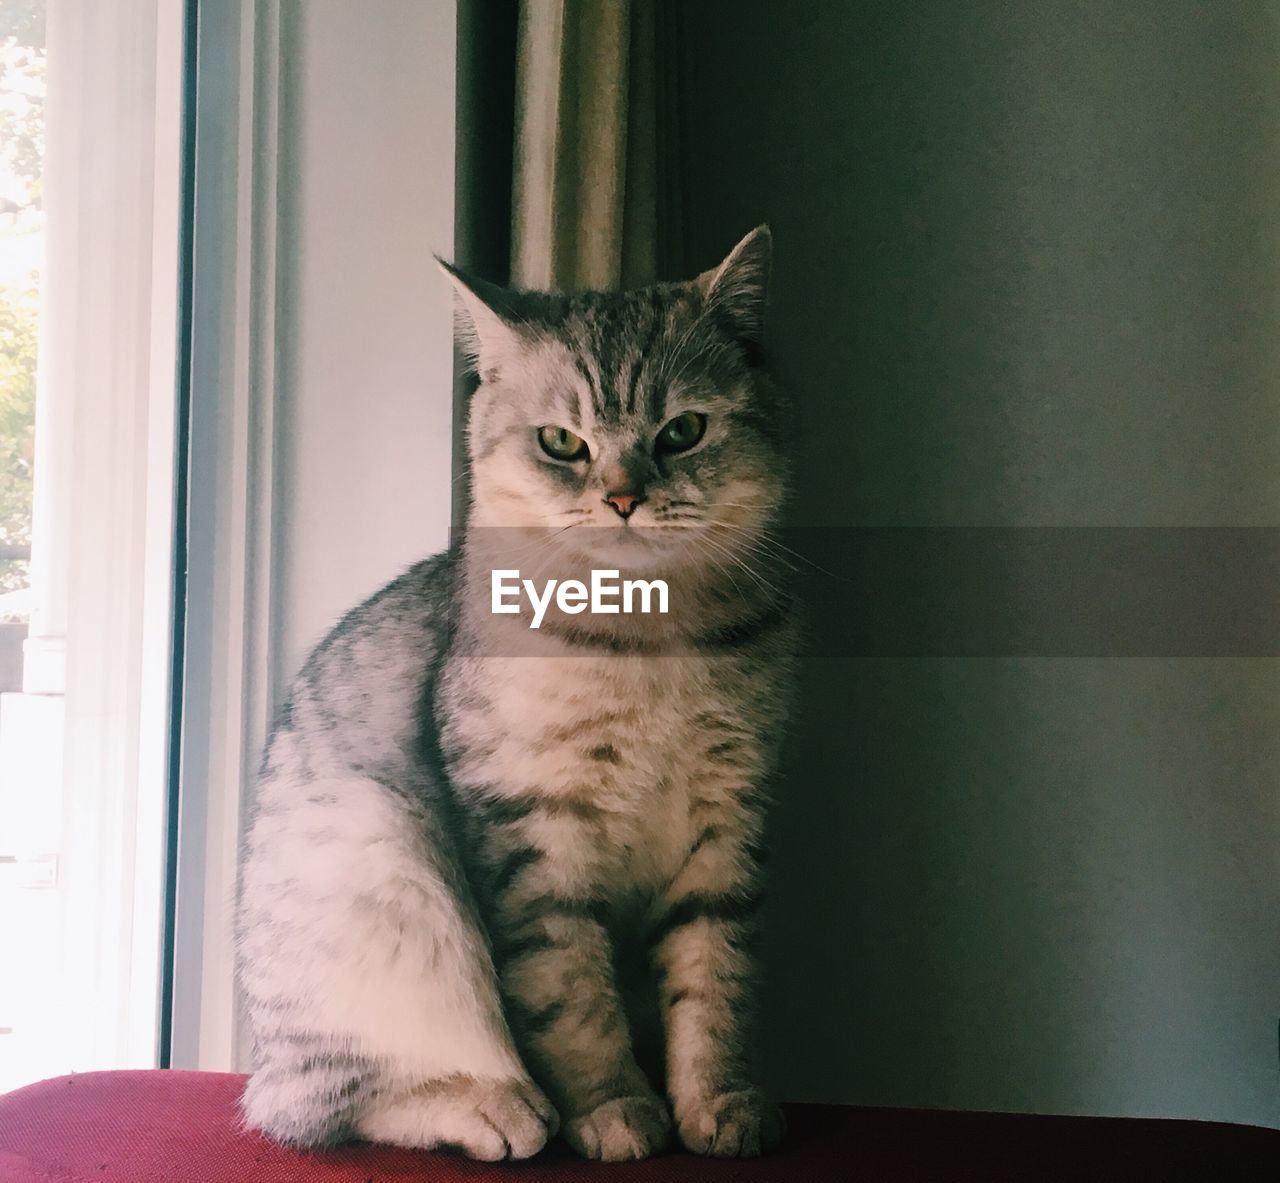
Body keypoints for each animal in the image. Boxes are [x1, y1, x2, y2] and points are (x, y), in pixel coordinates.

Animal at [230, 224, 788, 1162]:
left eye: (682, 430)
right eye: (562, 442)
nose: (624, 497)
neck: (648, 639)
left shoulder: (729, 821)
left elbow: (719, 983)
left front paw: (723, 1102)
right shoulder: (535, 831)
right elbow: (570, 996)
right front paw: (613, 1109)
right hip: (387, 870)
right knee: (327, 1104)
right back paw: (495, 1106)